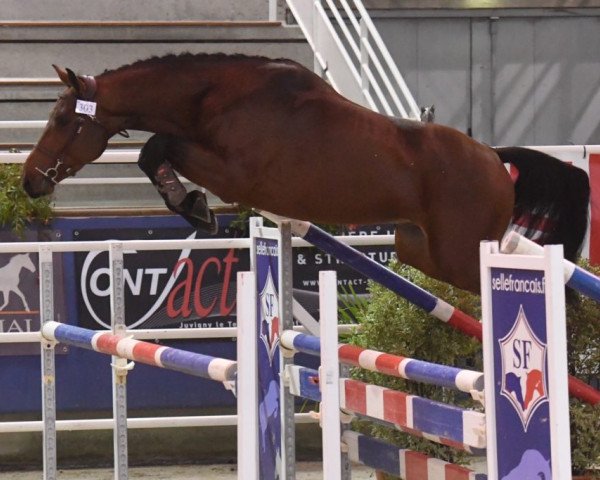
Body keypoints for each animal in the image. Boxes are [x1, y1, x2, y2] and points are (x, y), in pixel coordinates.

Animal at [19, 52, 592, 292]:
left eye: (65, 120)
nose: (28, 180)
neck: (216, 97)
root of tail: (493, 156)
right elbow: (154, 150)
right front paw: (190, 207)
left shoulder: (234, 173)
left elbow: (157, 146)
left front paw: (195, 208)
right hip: (418, 249)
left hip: (458, 256)